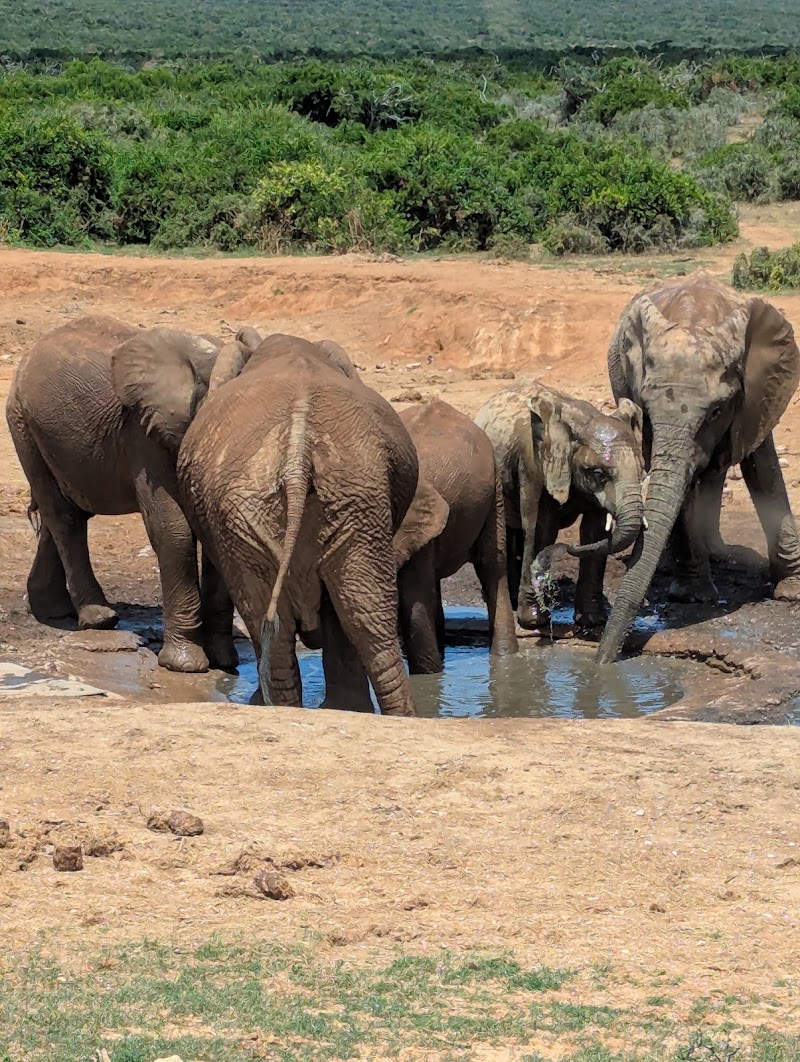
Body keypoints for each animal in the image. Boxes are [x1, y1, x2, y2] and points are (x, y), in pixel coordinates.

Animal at [474, 381, 645, 631]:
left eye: (641, 470)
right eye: (598, 473)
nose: (567, 547)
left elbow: (594, 532)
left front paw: (592, 621)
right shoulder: (534, 465)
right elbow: (541, 529)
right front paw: (534, 621)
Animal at [597, 269, 800, 664]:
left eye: (717, 411)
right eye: (647, 408)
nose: (600, 665)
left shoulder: (758, 393)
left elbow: (763, 467)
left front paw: (792, 590)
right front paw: (692, 597)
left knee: (717, 470)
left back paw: (717, 553)